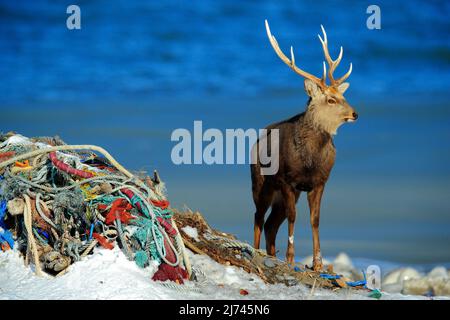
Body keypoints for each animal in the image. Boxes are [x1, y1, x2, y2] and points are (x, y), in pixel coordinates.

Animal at [250, 20, 358, 272]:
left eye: (343, 96)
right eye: (331, 99)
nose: (355, 114)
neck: (310, 161)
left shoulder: (319, 182)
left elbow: (314, 219)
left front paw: (318, 263)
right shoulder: (288, 180)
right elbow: (293, 217)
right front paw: (291, 258)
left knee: (271, 223)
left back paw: (272, 254)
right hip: (261, 182)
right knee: (258, 216)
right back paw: (258, 250)